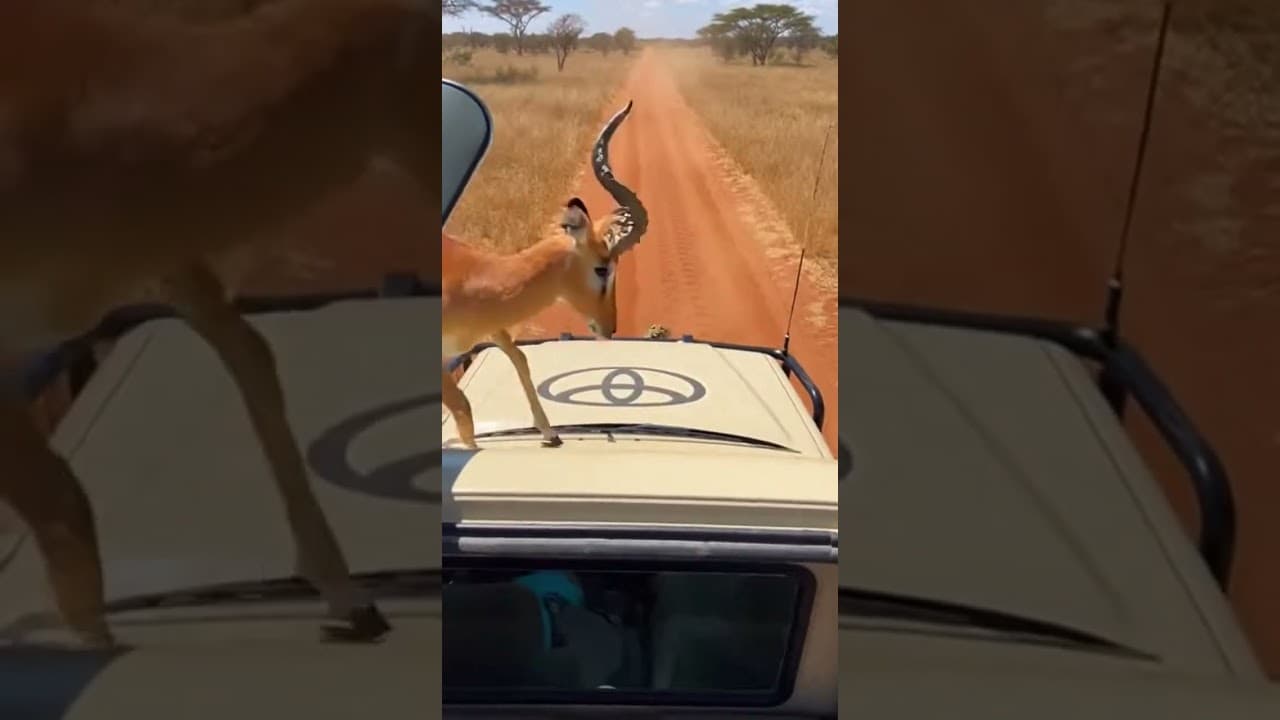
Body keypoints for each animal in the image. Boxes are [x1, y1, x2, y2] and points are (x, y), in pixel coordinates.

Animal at [441, 101, 649, 449]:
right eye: (602, 268)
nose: (610, 327)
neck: (471, 276)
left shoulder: (492, 327)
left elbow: (519, 357)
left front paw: (551, 434)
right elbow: (462, 407)